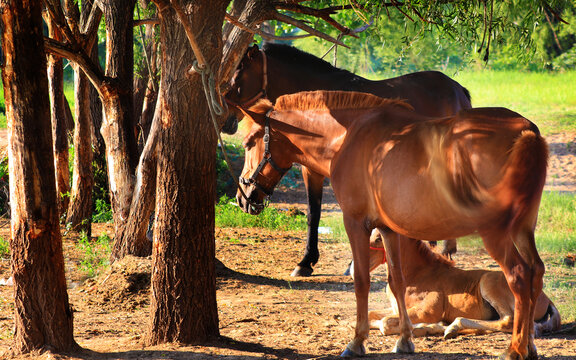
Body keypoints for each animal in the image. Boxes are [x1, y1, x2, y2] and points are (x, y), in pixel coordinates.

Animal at [225, 44, 468, 276]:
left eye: (238, 78)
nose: (226, 119)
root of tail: (459, 89)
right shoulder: (311, 170)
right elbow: (313, 213)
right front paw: (306, 261)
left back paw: (447, 249)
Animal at [362, 229, 560, 338]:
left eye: (378, 238)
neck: (415, 275)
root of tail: (546, 298)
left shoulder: (427, 311)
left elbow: (385, 323)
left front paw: (420, 327)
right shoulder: (396, 308)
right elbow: (372, 316)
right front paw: (425, 327)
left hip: (488, 282)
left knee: (508, 321)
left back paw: (452, 326)